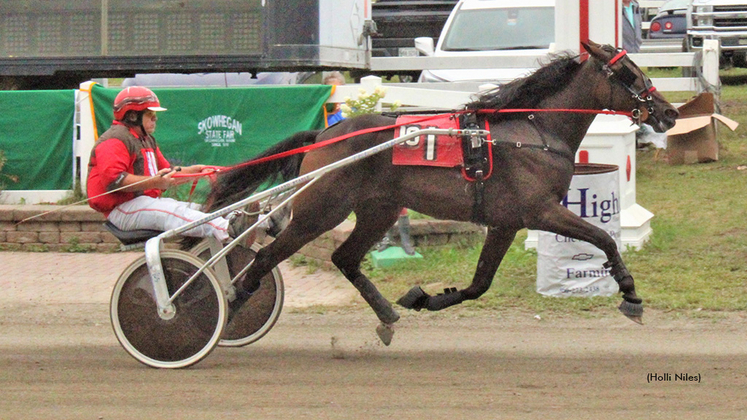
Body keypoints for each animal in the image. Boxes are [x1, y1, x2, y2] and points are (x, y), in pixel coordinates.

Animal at [203, 40, 676, 342]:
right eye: (629, 72)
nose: (669, 112)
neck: (533, 133)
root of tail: (324, 133)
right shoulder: (540, 211)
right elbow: (601, 238)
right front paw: (630, 294)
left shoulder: (505, 223)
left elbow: (480, 284)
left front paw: (423, 297)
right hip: (322, 209)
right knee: (266, 257)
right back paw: (227, 310)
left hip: (379, 209)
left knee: (344, 258)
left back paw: (387, 315)